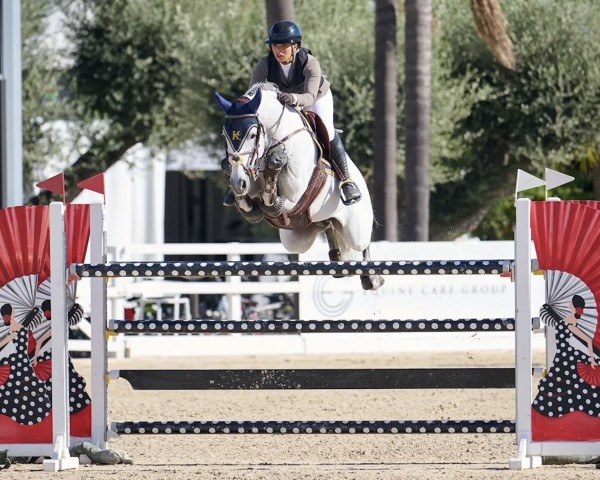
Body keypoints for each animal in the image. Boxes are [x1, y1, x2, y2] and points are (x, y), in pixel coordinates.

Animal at [216, 82, 382, 290]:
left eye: (253, 134)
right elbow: (248, 197)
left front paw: (275, 169)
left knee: (363, 243)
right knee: (329, 228)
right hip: (296, 239)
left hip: (355, 228)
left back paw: (372, 278)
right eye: (225, 135)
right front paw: (241, 194)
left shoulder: (296, 191)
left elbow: (272, 194)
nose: (238, 183)